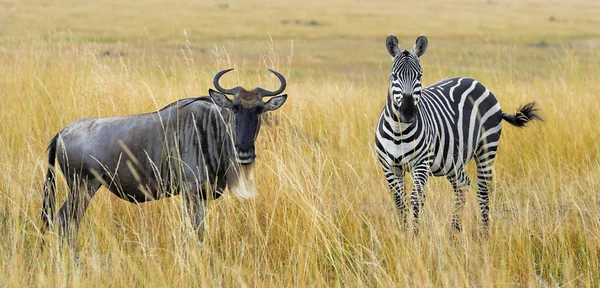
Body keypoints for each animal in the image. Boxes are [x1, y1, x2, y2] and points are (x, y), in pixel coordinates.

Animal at [372, 34, 540, 232]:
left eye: (420, 75)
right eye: (394, 76)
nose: (408, 113)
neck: (399, 132)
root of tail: (477, 82)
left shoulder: (421, 163)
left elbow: (416, 199)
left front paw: (414, 236)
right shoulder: (389, 167)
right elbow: (399, 202)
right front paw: (403, 233)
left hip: (486, 148)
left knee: (483, 190)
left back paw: (484, 233)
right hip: (451, 160)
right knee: (462, 184)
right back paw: (453, 231)